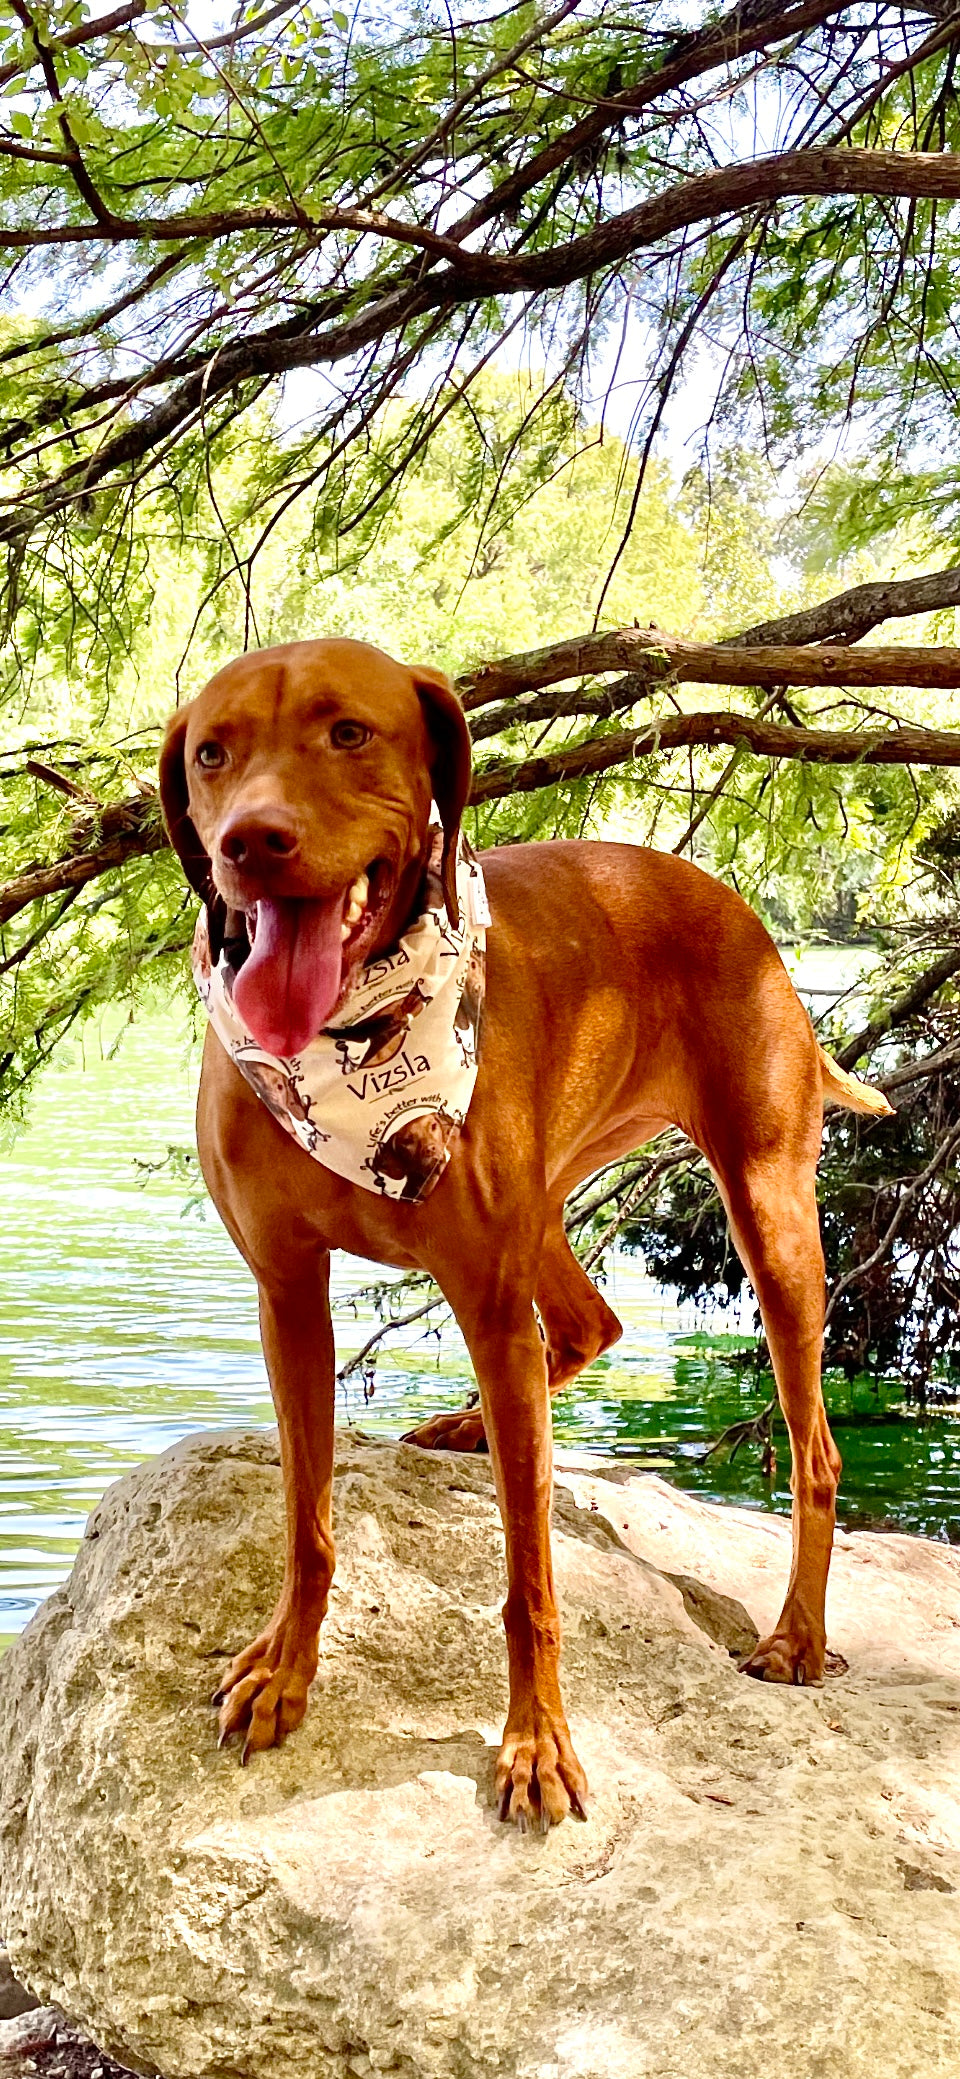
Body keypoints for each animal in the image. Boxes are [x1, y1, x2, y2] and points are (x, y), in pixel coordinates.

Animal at [161, 636, 889, 1837]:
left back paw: (798, 1636)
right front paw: (285, 1671)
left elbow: (529, 1580)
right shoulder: (286, 1290)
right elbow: (309, 1521)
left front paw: (537, 1742)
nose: (248, 845)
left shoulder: (489, 1301)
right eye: (212, 752)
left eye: (347, 731)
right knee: (590, 1326)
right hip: (549, 1209)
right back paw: (468, 1427)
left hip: (769, 1217)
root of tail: (736, 910)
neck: (353, 1043)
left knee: (813, 1450)